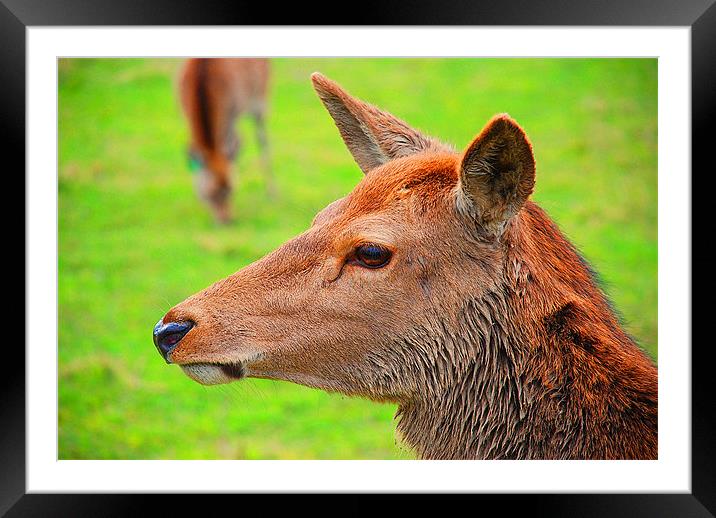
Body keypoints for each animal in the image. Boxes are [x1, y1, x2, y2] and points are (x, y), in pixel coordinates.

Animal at [178, 58, 274, 224]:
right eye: (211, 194)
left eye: (230, 190)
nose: (227, 221)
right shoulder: (184, 113)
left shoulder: (232, 112)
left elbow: (235, 148)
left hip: (261, 96)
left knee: (263, 140)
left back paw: (272, 192)